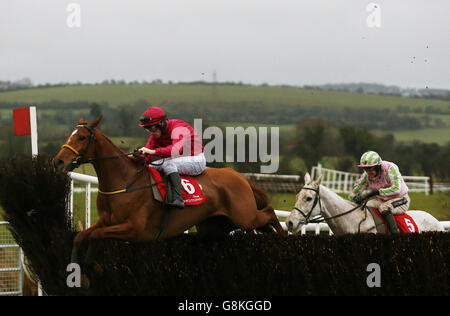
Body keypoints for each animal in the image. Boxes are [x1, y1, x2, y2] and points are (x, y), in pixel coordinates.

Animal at [53, 117, 284, 260]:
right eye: (69, 135)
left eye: (81, 137)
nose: (58, 162)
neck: (125, 181)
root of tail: (240, 177)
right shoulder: (106, 221)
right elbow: (82, 236)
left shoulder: (135, 229)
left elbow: (96, 235)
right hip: (216, 226)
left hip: (244, 216)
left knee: (269, 213)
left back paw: (283, 236)